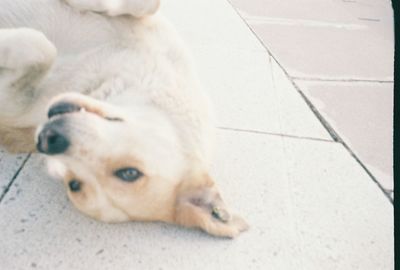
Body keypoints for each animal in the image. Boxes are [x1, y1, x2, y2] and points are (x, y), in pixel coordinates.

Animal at [0, 0, 248, 237]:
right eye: (130, 173)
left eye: (73, 184)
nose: (48, 139)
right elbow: (149, 4)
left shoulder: (14, 109)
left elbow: (41, 46)